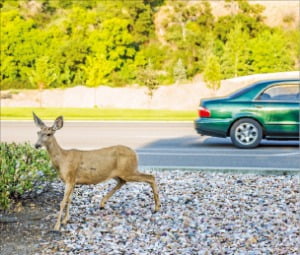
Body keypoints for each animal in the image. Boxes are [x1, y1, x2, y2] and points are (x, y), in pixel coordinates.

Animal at [32, 112, 162, 230]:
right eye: (38, 133)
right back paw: (102, 203)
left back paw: (157, 207)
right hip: (120, 173)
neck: (63, 159)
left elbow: (63, 202)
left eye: (49, 134)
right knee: (122, 182)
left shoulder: (70, 177)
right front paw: (65, 220)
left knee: (151, 177)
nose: (36, 145)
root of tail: (135, 154)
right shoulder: (72, 181)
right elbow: (69, 200)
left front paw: (57, 226)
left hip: (129, 170)